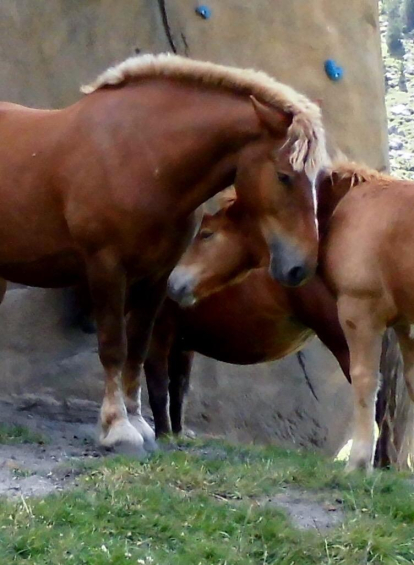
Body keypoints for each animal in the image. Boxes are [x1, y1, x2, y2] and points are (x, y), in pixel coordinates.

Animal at [0, 50, 326, 452]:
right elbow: (114, 346)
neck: (142, 158)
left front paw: (137, 422)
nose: (301, 266)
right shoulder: (107, 268)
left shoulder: (156, 278)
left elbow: (138, 349)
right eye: (284, 175)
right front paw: (116, 428)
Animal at [146, 189, 350, 436]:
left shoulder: (157, 335)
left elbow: (158, 388)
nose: (174, 284)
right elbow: (178, 390)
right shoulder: (181, 344)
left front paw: (164, 435)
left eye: (207, 234)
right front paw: (176, 434)